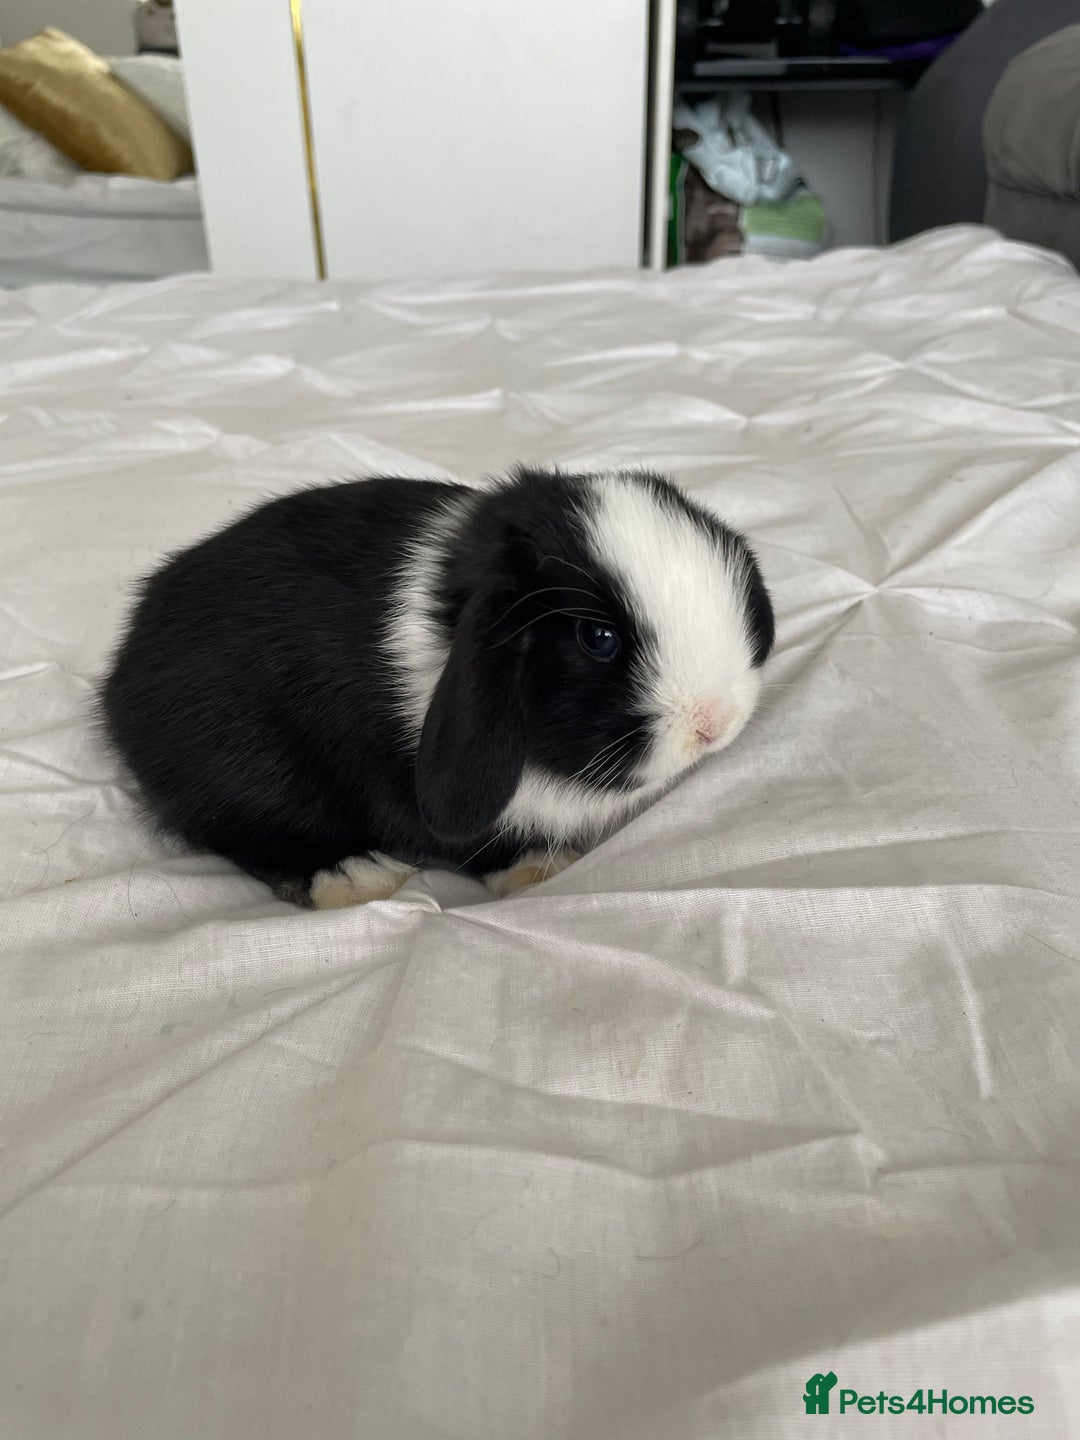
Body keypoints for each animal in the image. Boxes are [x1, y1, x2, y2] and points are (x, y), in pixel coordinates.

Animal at [100, 467, 774, 908]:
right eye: (598, 637)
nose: (714, 722)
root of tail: (121, 676)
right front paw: (540, 870)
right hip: (244, 774)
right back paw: (356, 876)